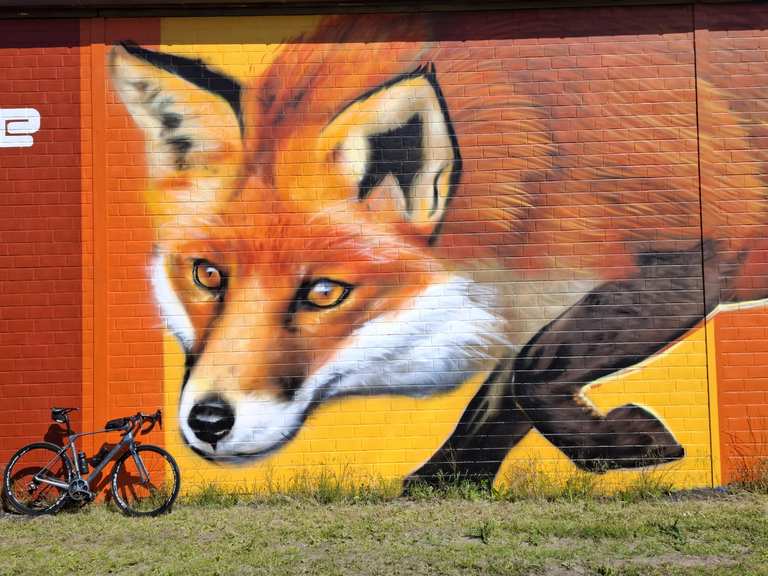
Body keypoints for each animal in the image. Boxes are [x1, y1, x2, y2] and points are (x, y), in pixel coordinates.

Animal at [108, 14, 768, 481]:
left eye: (323, 292)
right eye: (208, 275)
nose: (208, 421)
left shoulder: (704, 245)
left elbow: (531, 372)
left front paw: (626, 447)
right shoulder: (526, 300)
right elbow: (496, 402)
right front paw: (442, 482)